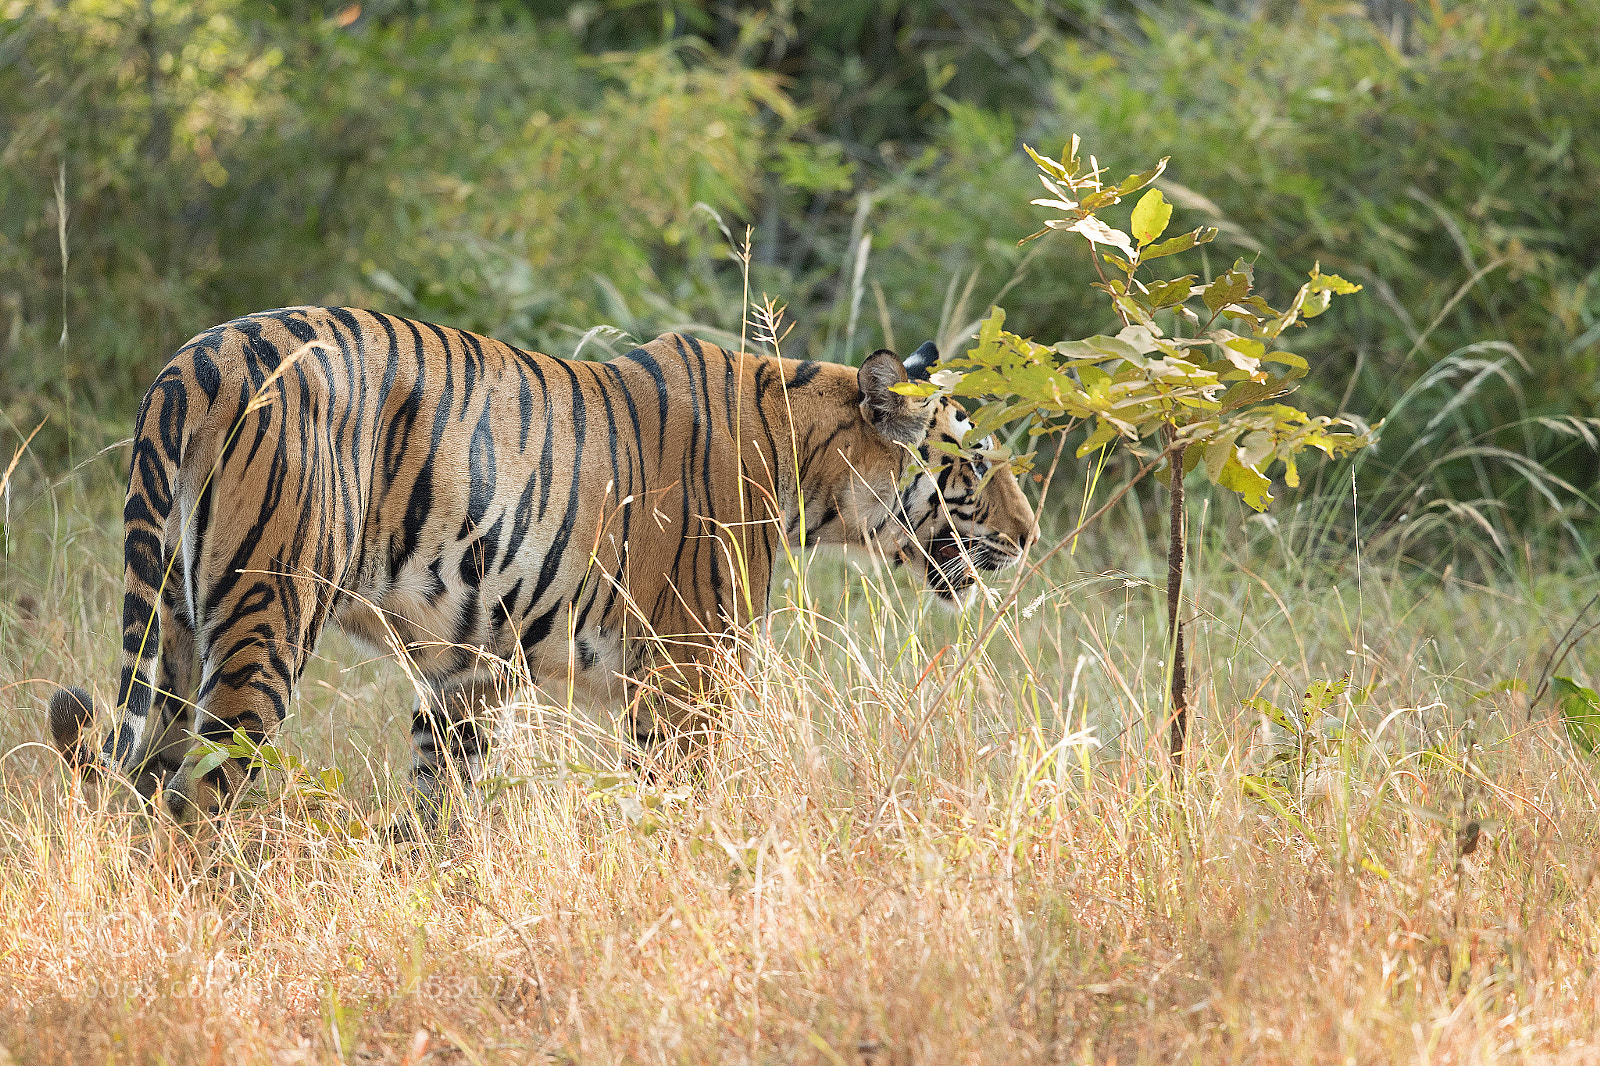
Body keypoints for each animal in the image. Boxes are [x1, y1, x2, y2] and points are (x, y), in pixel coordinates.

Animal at [47, 307, 1036, 827]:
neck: (809, 465)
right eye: (977, 463)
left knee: (144, 783)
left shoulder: (470, 674)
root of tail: (195, 361)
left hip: (176, 629)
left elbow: (441, 804)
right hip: (266, 617)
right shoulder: (690, 674)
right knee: (199, 797)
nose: (1031, 537)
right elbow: (680, 805)